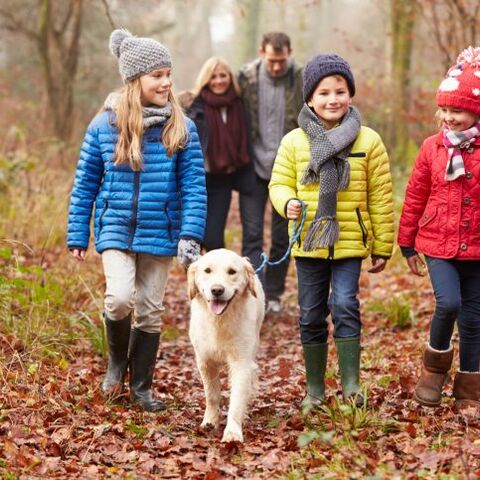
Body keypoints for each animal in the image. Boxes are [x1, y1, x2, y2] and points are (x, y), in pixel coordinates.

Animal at [188, 249, 264, 440]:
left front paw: (232, 432)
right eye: (207, 270)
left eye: (232, 272)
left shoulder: (241, 363)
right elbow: (212, 395)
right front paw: (209, 422)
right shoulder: (205, 362)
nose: (217, 290)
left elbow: (236, 400)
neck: (219, 321)